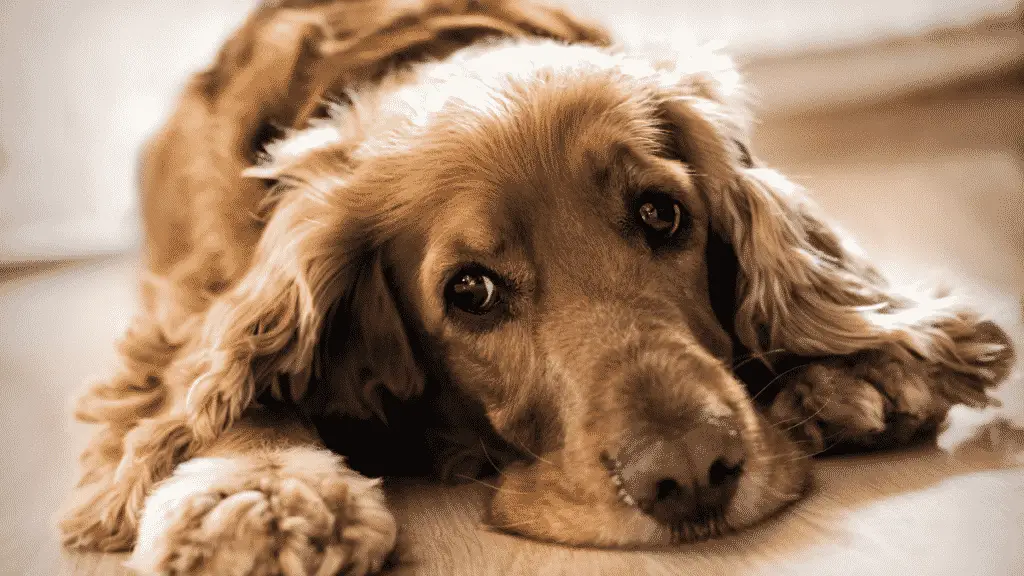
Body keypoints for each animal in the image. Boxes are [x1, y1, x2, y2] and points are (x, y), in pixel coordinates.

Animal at [61, 1, 1015, 569]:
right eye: (471, 293)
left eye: (662, 214)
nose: (692, 474)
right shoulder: (184, 306)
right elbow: (215, 387)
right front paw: (259, 493)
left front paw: (858, 370)